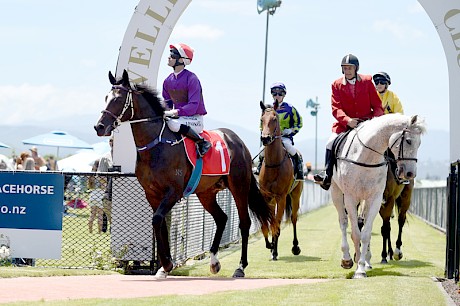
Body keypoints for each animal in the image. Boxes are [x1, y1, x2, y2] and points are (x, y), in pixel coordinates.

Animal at [93, 70, 274, 278]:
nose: (99, 127)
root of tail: (238, 142)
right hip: (206, 193)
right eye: (106, 98)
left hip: (239, 187)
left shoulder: (174, 191)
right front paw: (164, 266)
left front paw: (167, 263)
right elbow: (160, 225)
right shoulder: (152, 194)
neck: (157, 145)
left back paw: (240, 267)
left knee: (244, 223)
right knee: (221, 218)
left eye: (118, 99)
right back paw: (214, 261)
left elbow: (157, 220)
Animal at [256, 102, 304, 260]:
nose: (265, 138)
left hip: (295, 195)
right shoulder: (266, 197)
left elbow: (276, 223)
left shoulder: (281, 197)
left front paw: (274, 249)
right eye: (262, 119)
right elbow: (266, 223)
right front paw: (269, 245)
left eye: (274, 119)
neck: (274, 164)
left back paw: (295, 247)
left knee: (293, 218)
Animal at [330, 113, 424, 278]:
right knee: (343, 222)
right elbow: (356, 232)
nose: (410, 173)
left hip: (403, 197)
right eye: (408, 141)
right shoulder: (350, 197)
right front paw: (357, 261)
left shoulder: (376, 198)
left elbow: (368, 232)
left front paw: (362, 266)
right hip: (337, 194)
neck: (366, 157)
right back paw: (347, 258)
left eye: (419, 144)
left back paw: (394, 252)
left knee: (399, 220)